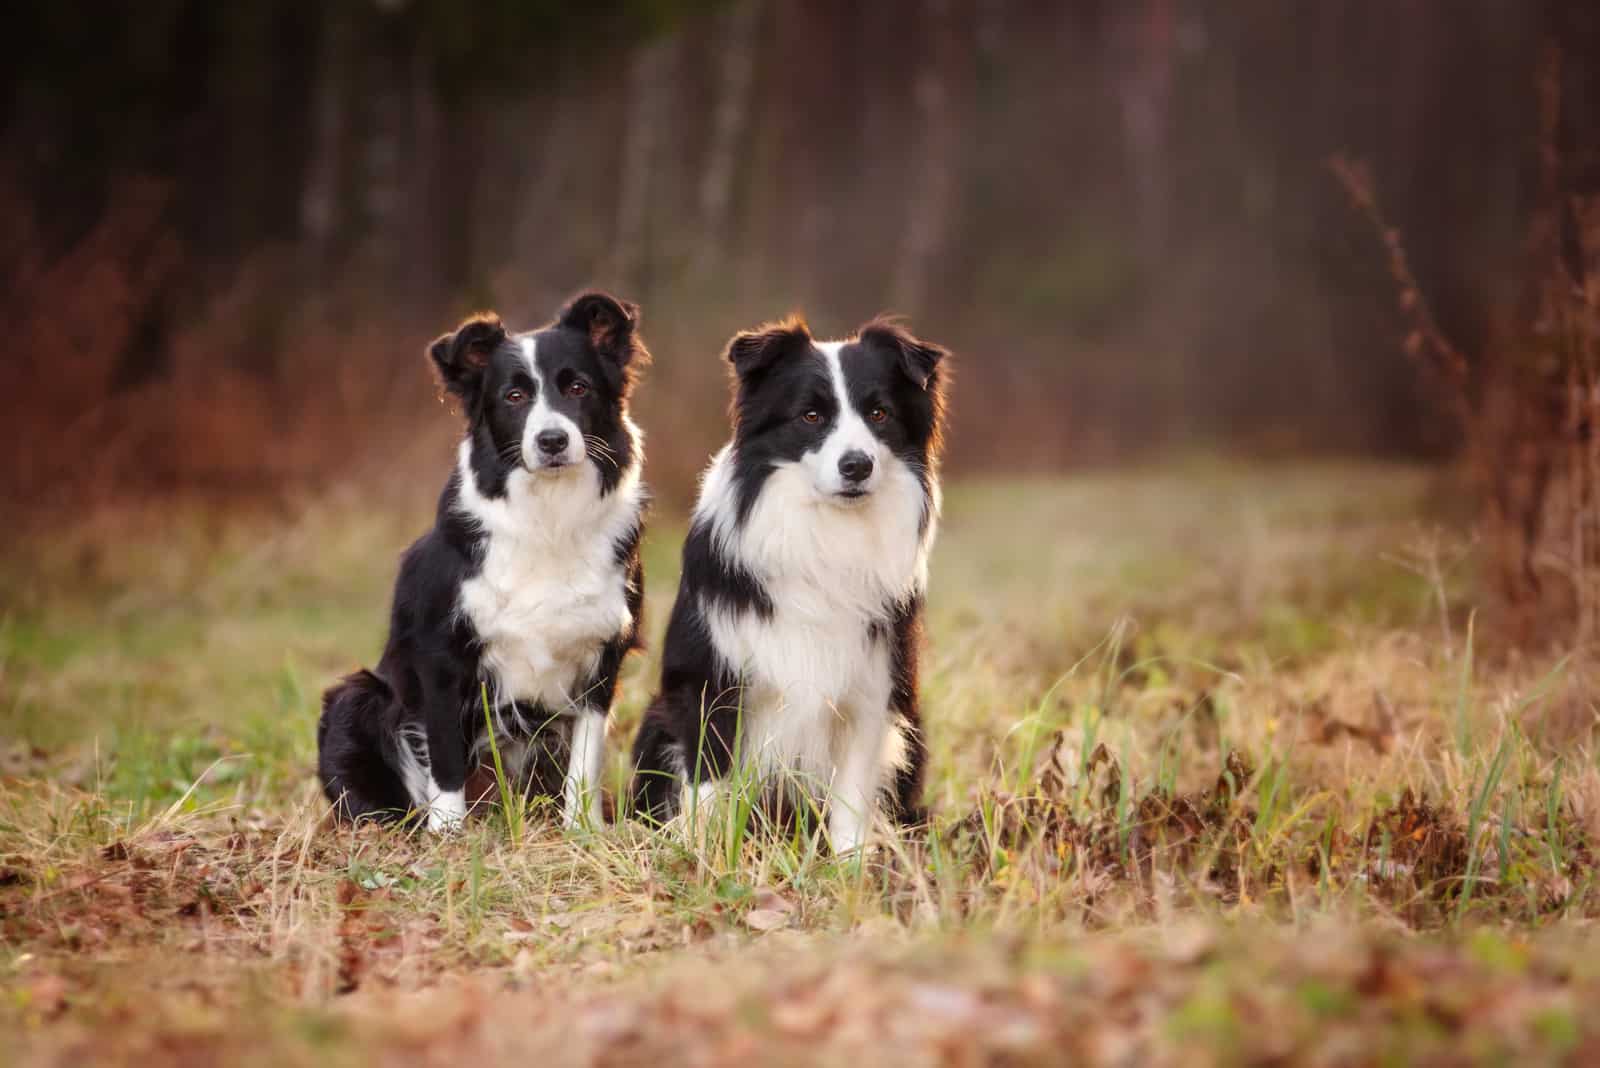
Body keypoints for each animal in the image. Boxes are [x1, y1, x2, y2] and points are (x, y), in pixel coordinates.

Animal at [318, 292, 649, 831]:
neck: (547, 514)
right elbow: (446, 754)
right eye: (513, 397)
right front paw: (449, 833)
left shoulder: (603, 657)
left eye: (578, 387)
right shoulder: (441, 656)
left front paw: (583, 829)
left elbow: (585, 759)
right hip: (355, 698)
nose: (552, 441)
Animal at [627, 310, 947, 850]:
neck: (826, 532)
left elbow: (851, 800)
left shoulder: (869, 691)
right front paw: (702, 857)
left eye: (879, 414)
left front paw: (850, 863)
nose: (857, 465)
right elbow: (708, 788)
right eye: (811, 416)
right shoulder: (712, 683)